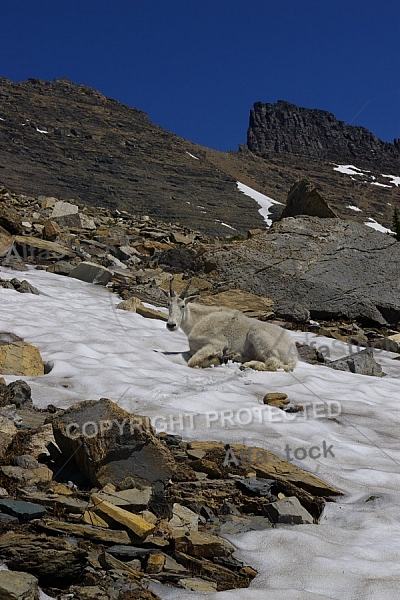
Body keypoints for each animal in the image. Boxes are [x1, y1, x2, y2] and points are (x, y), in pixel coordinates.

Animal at [162, 276, 296, 370]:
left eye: (182, 306)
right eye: (168, 304)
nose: (171, 325)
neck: (198, 321)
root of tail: (293, 354)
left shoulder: (216, 343)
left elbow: (192, 362)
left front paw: (217, 358)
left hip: (257, 334)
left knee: (274, 363)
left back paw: (247, 365)